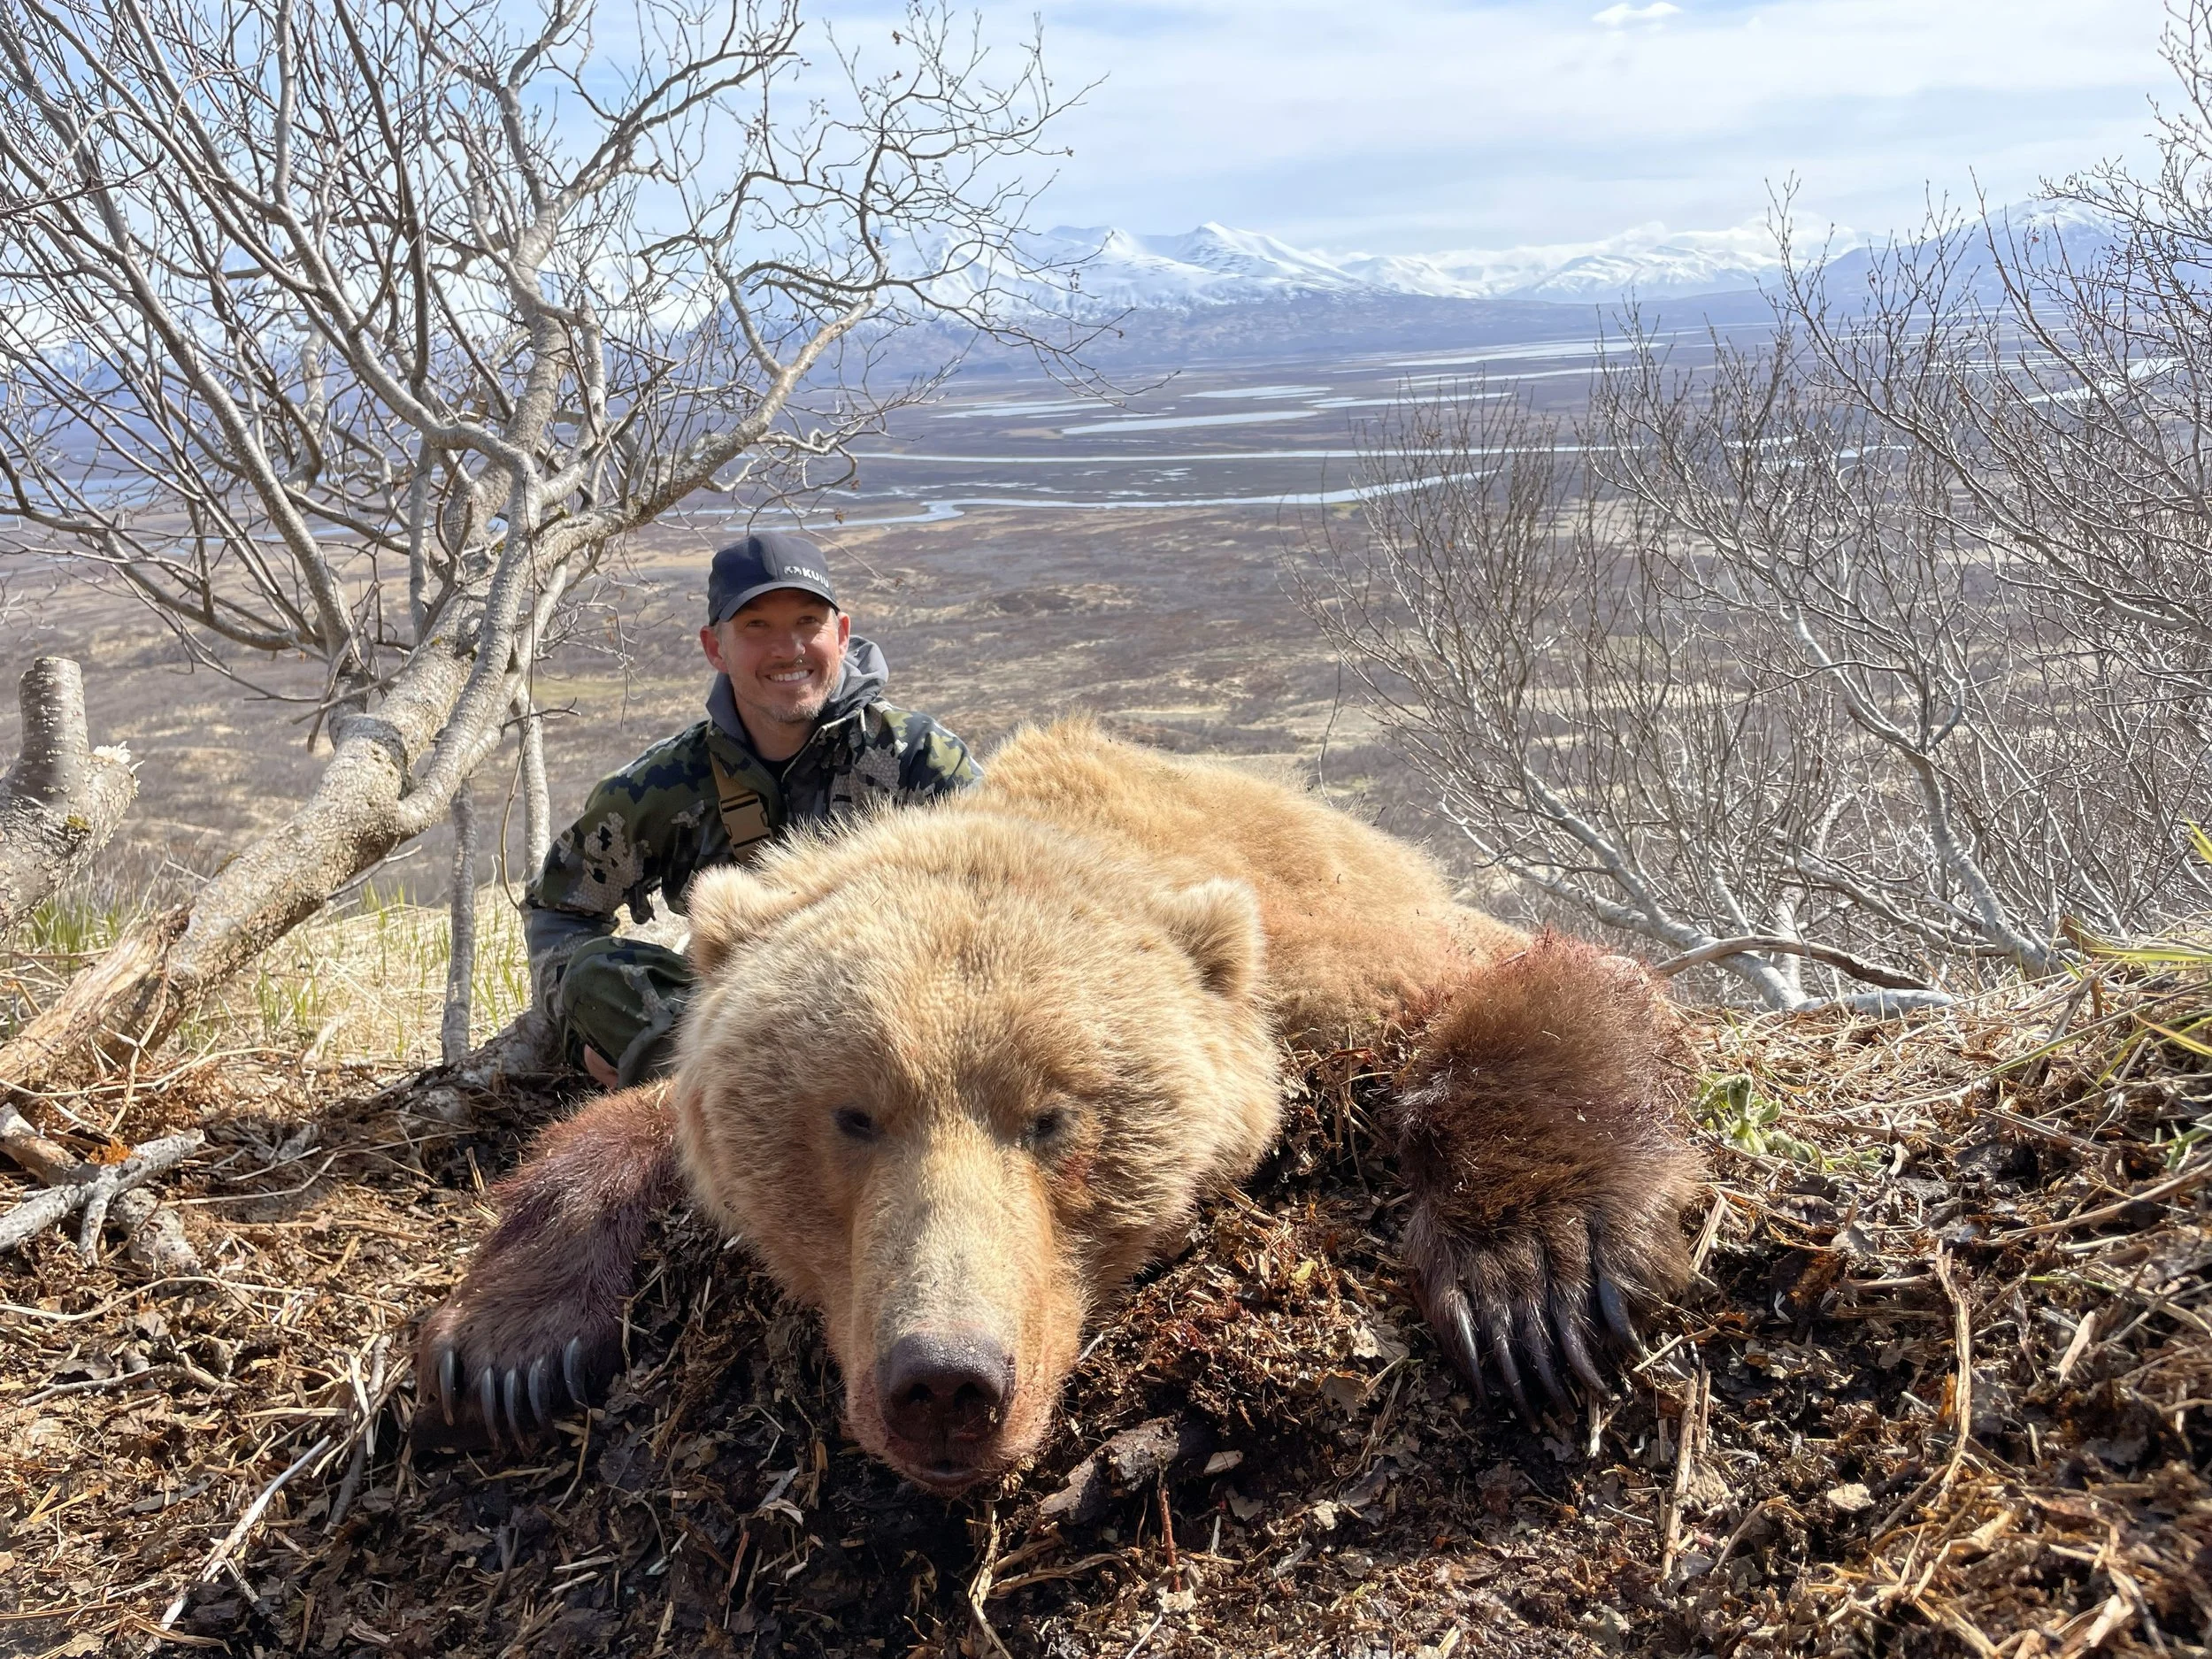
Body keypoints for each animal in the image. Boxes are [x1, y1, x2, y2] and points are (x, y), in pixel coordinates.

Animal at [415, 720, 1702, 1492]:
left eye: (1055, 1117)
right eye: (851, 1114)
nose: (943, 1378)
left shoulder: (1318, 964)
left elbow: (1529, 980)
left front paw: (1529, 1275)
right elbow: (619, 1128)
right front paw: (513, 1349)